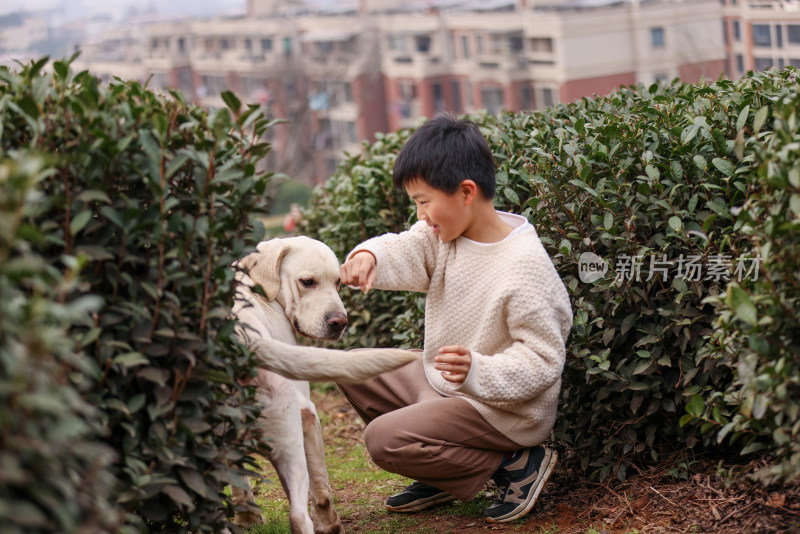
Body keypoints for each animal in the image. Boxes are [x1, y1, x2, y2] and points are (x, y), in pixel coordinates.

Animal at [230, 239, 418, 534]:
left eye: (339, 282)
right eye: (308, 282)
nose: (340, 322)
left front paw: (248, 519)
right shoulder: (308, 416)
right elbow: (321, 487)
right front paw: (329, 524)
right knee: (297, 514)